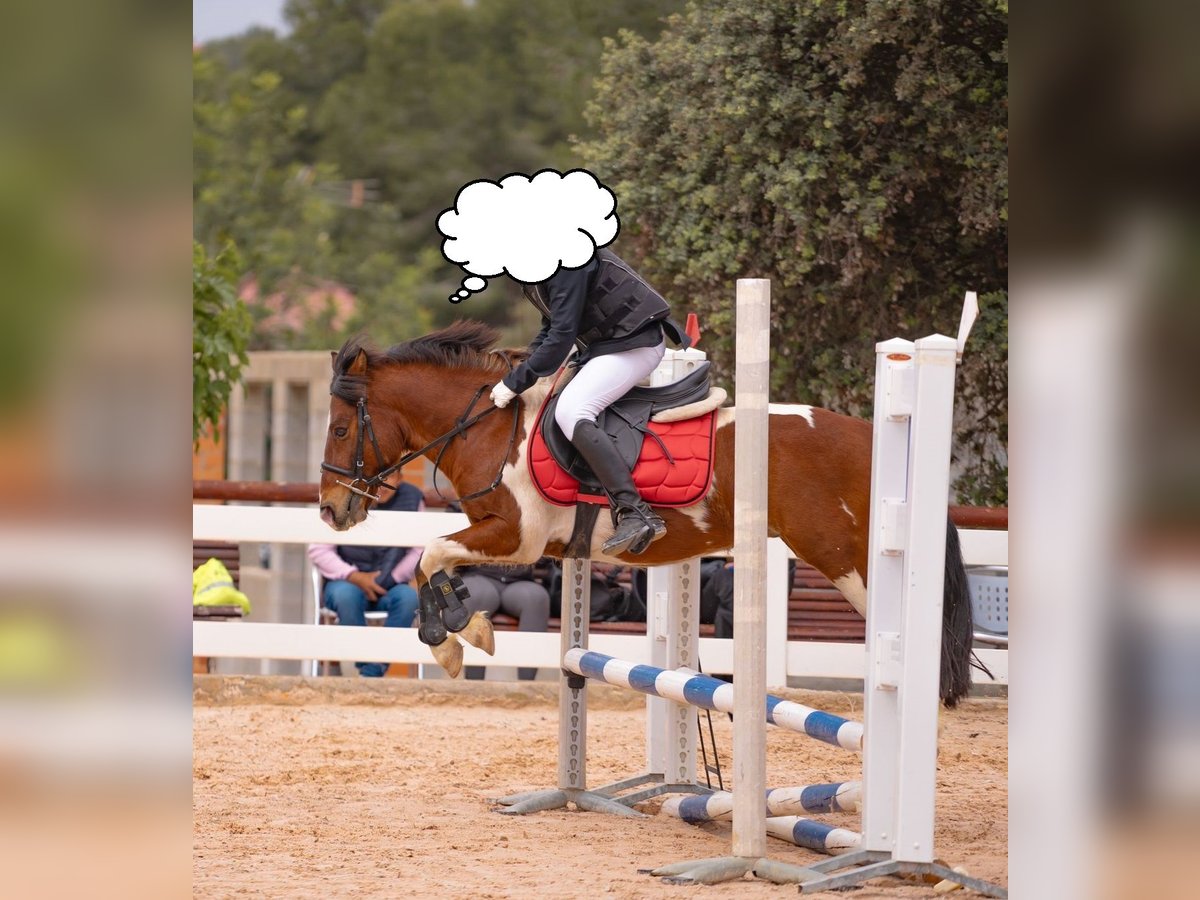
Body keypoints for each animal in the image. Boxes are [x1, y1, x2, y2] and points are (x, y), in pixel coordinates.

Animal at [316, 321, 974, 710]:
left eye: (341, 429)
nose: (330, 510)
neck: (491, 428)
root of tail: (876, 439)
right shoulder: (510, 540)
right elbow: (437, 559)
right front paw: (466, 626)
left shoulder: (516, 537)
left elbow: (430, 553)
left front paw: (451, 636)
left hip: (844, 559)